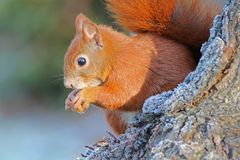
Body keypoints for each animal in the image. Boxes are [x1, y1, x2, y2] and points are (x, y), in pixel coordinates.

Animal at [63, 0, 225, 134]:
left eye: (81, 61)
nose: (68, 84)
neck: (113, 57)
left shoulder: (130, 72)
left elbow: (121, 95)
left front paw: (85, 94)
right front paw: (71, 97)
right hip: (113, 116)